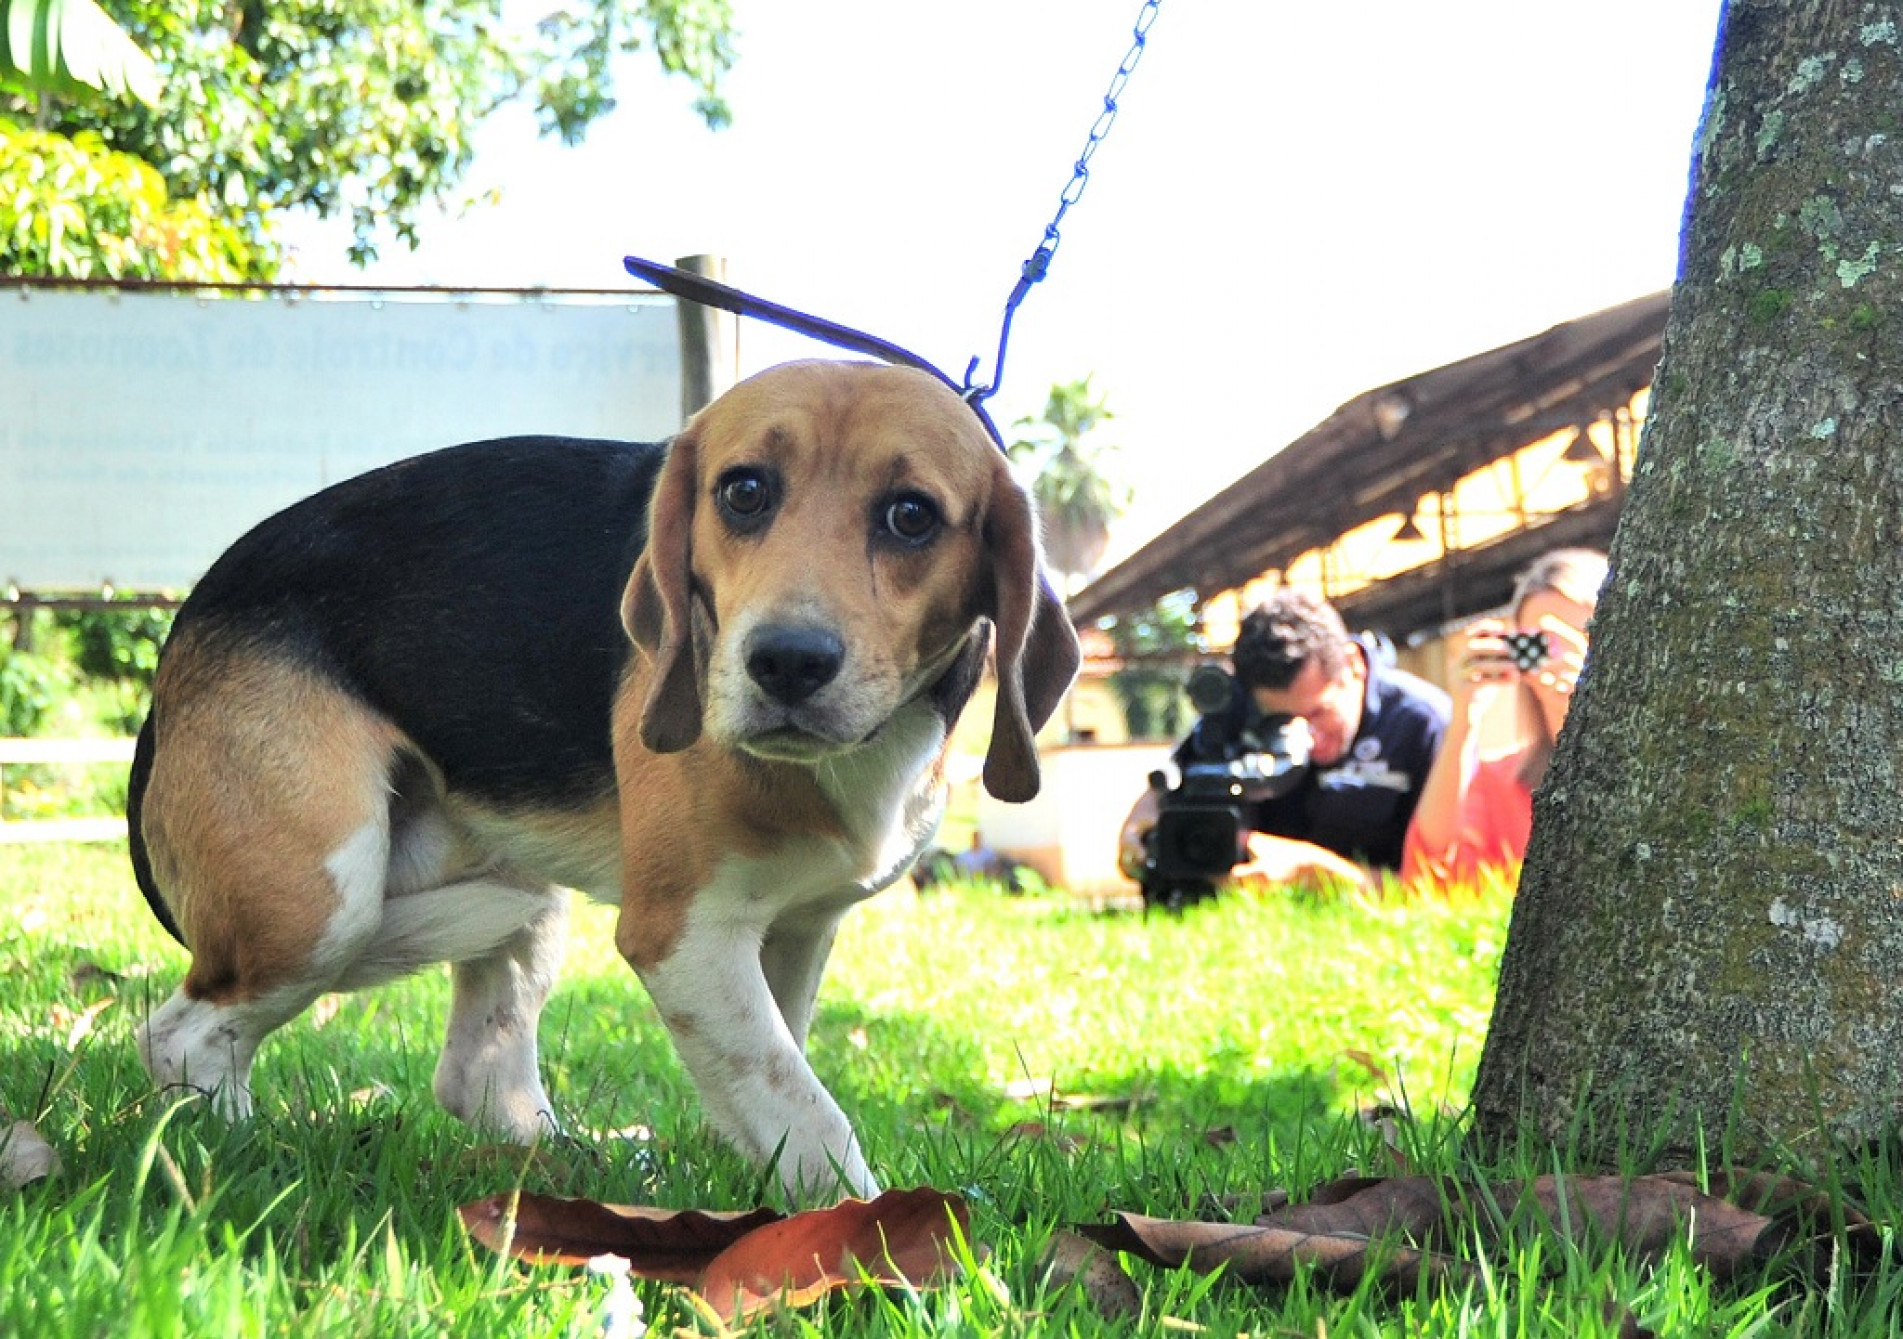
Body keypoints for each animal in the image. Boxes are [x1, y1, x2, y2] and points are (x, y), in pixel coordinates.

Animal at [130, 361, 1088, 1194]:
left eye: (911, 515)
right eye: (744, 491)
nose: (786, 661)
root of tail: (182, 631)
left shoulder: (796, 928)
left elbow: (776, 1082)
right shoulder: (686, 937)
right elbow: (807, 1108)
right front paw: (876, 1234)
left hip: (510, 881)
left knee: (477, 1072)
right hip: (319, 903)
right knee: (182, 1037)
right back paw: (233, 1155)